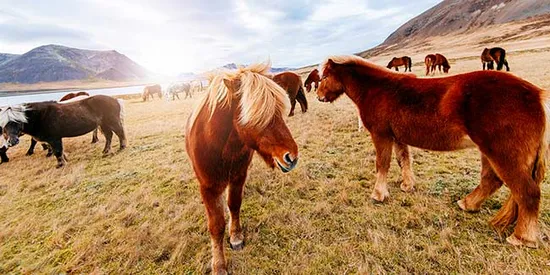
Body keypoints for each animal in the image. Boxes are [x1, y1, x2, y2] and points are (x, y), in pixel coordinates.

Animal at [187, 61, 300, 274]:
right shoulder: (208, 187)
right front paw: (219, 265)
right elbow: (216, 225)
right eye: (257, 116)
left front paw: (236, 236)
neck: (221, 147)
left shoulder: (238, 177)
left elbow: (234, 205)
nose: (292, 157)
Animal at [316, 55, 548, 249]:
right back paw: (467, 204)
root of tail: (537, 96)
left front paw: (378, 194)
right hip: (490, 151)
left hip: (502, 154)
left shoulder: (381, 135)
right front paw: (407, 185)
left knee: (527, 191)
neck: (376, 89)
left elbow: (382, 163)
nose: (318, 96)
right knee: (491, 180)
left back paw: (522, 238)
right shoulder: (397, 137)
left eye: (325, 76)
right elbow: (403, 160)